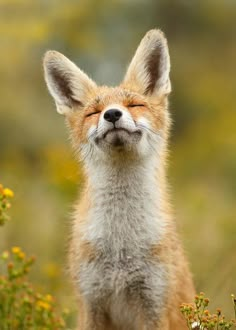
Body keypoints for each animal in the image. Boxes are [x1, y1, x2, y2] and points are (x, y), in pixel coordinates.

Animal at [43, 29, 195, 330]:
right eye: (93, 112)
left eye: (134, 105)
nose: (112, 114)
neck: (121, 246)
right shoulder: (90, 304)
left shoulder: (154, 305)